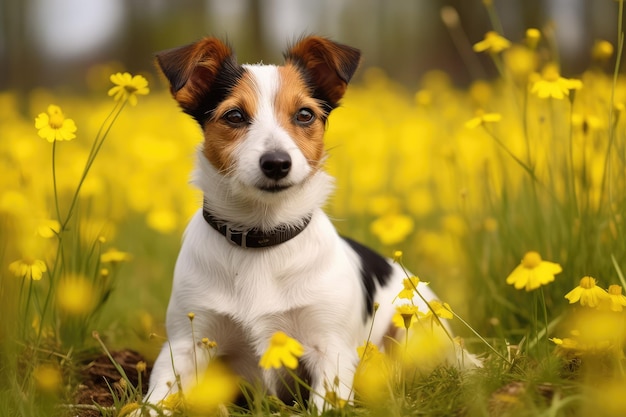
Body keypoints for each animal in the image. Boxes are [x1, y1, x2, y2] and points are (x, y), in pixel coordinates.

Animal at [146, 35, 478, 410]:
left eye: (304, 115)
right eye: (234, 116)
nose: (277, 163)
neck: (263, 235)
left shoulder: (329, 348)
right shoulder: (185, 345)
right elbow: (155, 401)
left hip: (416, 329)